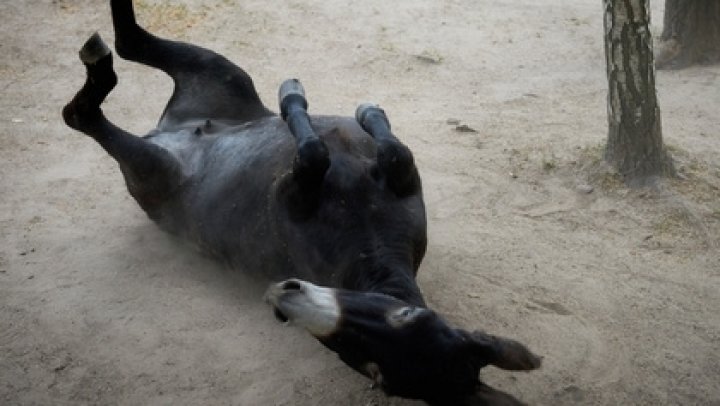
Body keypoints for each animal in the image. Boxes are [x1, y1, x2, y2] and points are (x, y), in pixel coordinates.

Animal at [63, 1, 540, 404]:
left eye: (372, 371)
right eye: (404, 315)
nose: (284, 296)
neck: (369, 241)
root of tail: (171, 131)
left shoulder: (295, 189)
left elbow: (314, 152)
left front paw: (302, 103)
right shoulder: (400, 174)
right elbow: (385, 147)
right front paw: (346, 107)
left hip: (153, 167)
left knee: (85, 109)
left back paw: (98, 65)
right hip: (220, 74)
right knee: (132, 43)